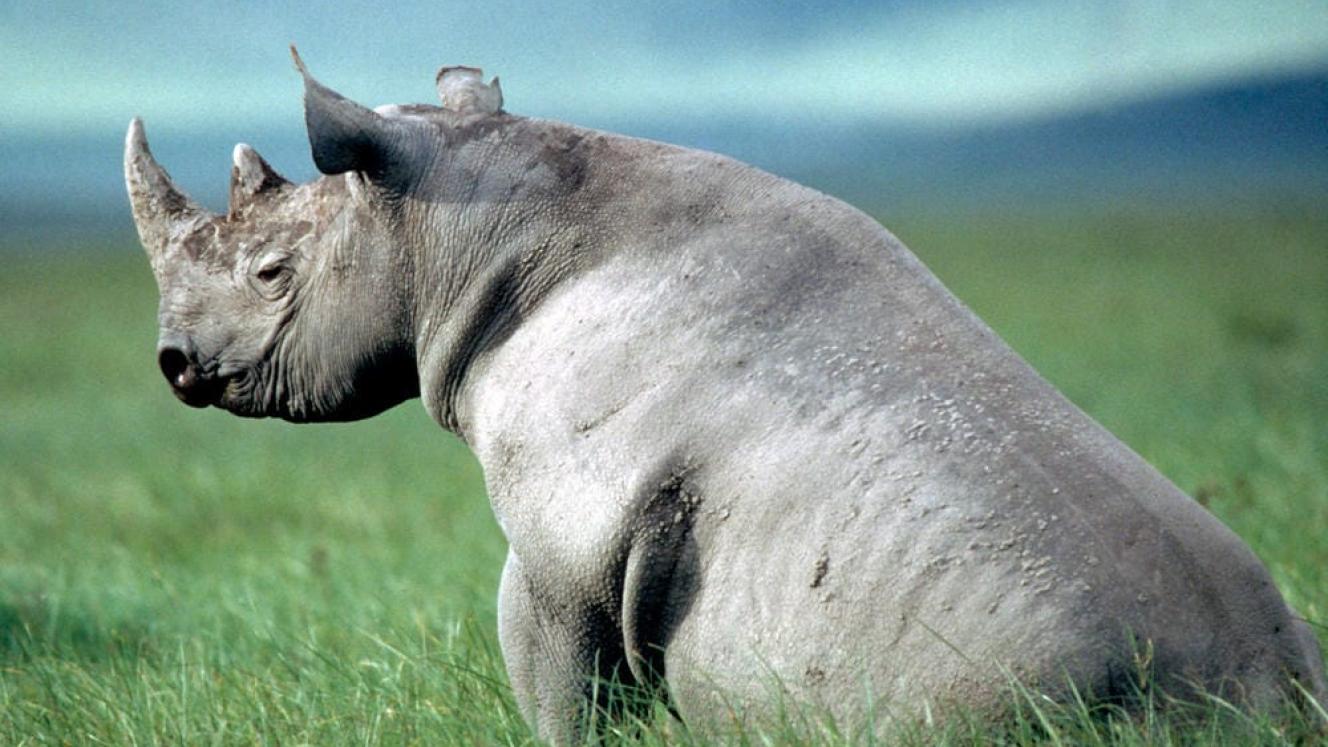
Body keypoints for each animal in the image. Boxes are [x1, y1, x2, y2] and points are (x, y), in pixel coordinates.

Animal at [124, 49, 1325, 740]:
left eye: (272, 274)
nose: (173, 363)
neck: (456, 223)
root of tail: (1261, 702)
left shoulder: (565, 543)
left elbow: (560, 692)